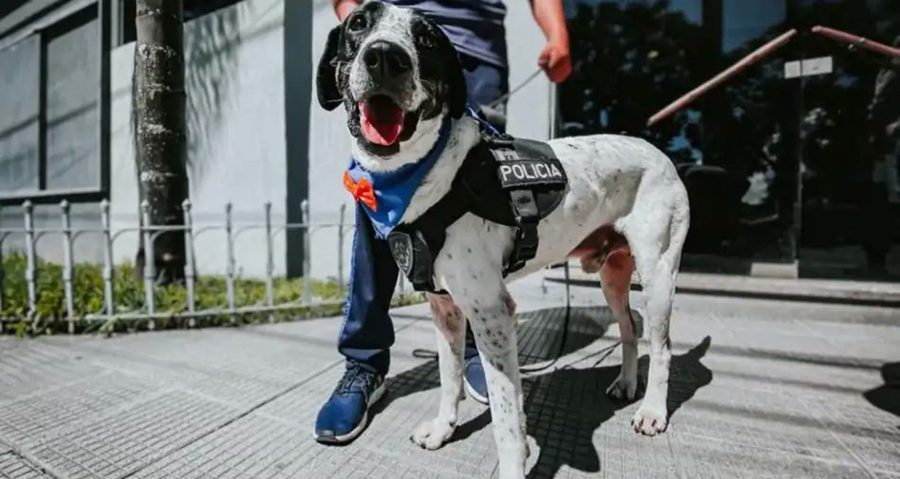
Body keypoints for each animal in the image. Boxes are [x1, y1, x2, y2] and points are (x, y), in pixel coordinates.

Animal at [320, 2, 692, 476]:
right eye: (357, 24)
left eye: (426, 38)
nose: (385, 56)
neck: (421, 174)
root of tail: (658, 151)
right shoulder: (445, 307)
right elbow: (449, 378)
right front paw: (443, 429)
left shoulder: (492, 313)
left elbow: (506, 419)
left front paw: (513, 463)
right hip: (612, 275)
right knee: (627, 327)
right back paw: (627, 384)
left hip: (658, 272)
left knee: (661, 347)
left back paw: (652, 411)